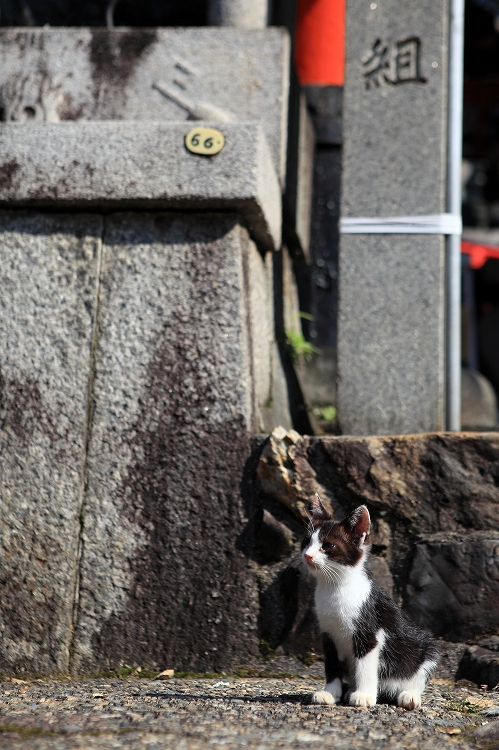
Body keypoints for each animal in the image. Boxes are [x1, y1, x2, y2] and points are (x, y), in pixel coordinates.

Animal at [300, 496, 438, 712]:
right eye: (307, 541)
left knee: (418, 671)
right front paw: (330, 693)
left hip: (426, 647)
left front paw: (364, 696)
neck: (335, 587)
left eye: (328, 546)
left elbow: (365, 665)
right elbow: (332, 664)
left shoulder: (369, 631)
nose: (307, 555)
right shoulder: (328, 633)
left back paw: (409, 695)